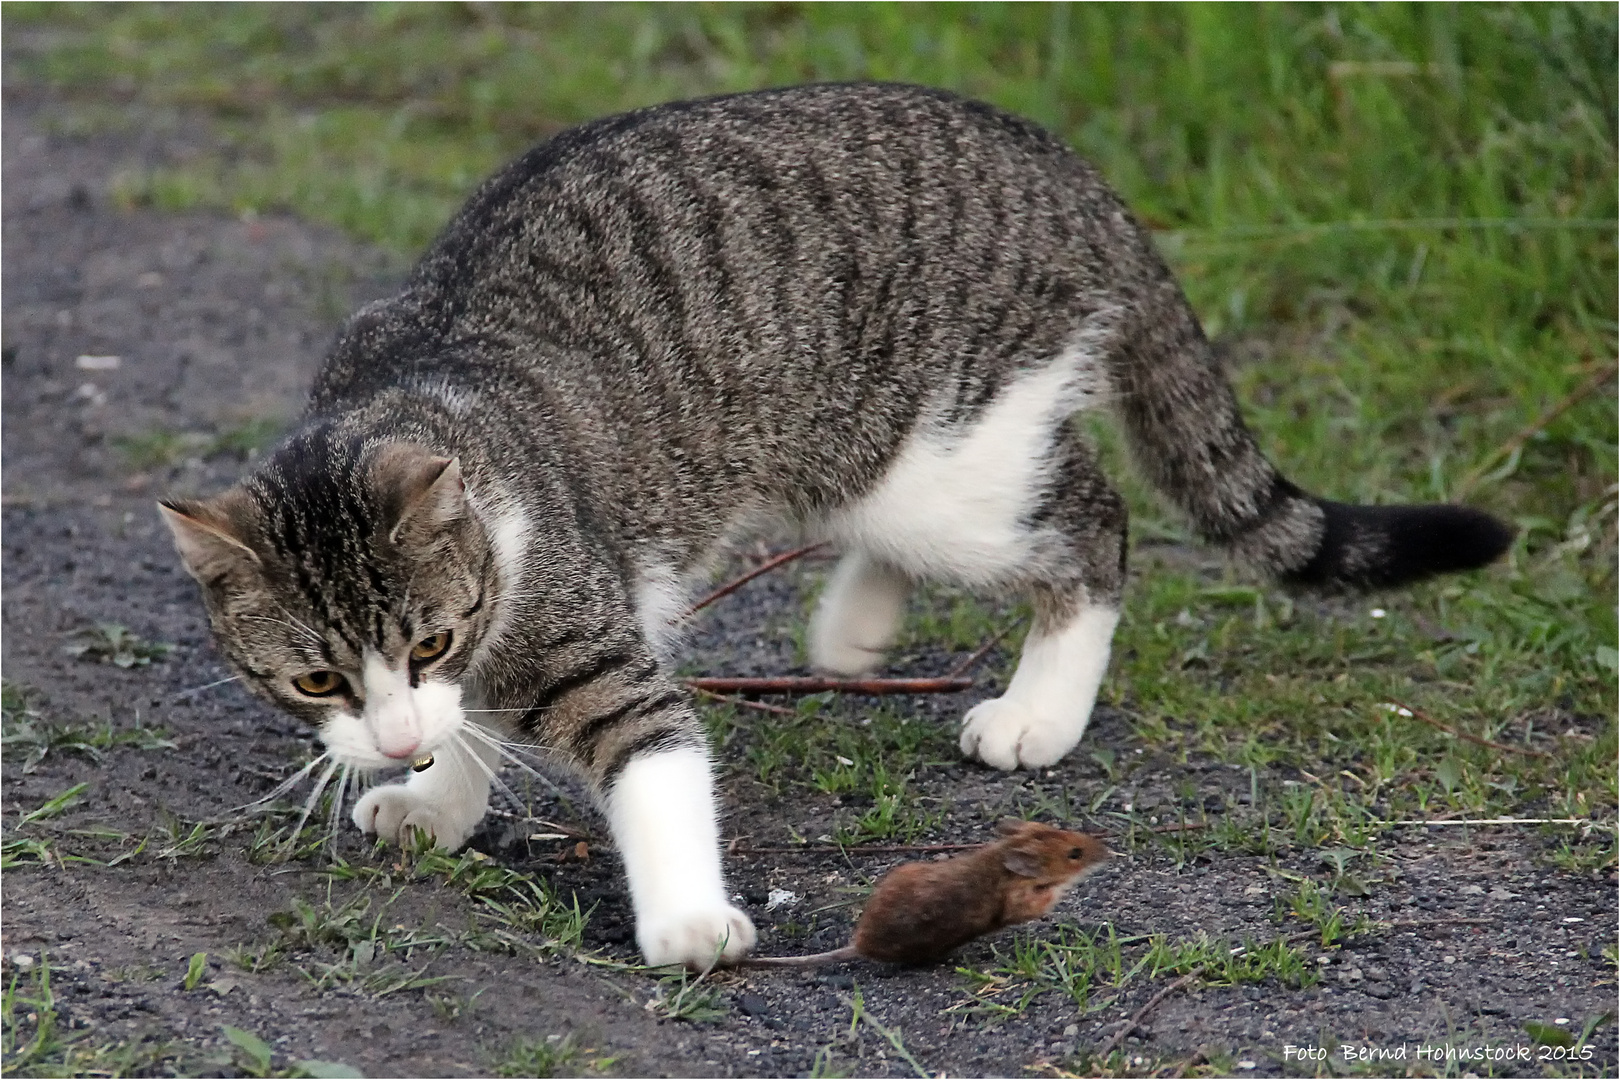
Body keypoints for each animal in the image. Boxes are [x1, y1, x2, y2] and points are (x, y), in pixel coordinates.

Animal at [157, 80, 1509, 965]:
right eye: (317, 679)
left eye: (424, 641)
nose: (388, 737)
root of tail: (1059, 165)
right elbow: (478, 730)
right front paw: (437, 794)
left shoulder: (577, 623)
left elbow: (651, 756)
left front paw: (687, 922)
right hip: (872, 456)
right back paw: (856, 627)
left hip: (948, 459)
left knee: (1092, 518)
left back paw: (1041, 706)